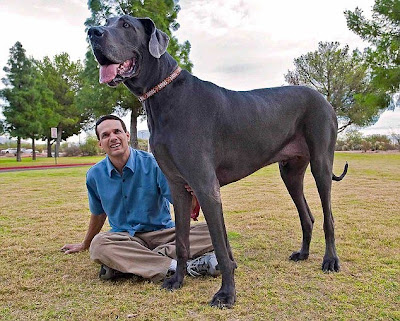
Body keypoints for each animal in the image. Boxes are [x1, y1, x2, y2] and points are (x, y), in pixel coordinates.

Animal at [88, 15, 346, 308]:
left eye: (126, 25)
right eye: (107, 21)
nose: (93, 32)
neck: (163, 97)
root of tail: (323, 99)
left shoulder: (205, 186)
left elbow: (220, 246)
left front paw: (227, 294)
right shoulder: (178, 187)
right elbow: (184, 241)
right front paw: (178, 281)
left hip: (321, 163)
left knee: (327, 217)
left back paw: (330, 260)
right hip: (290, 172)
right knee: (307, 216)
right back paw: (302, 253)